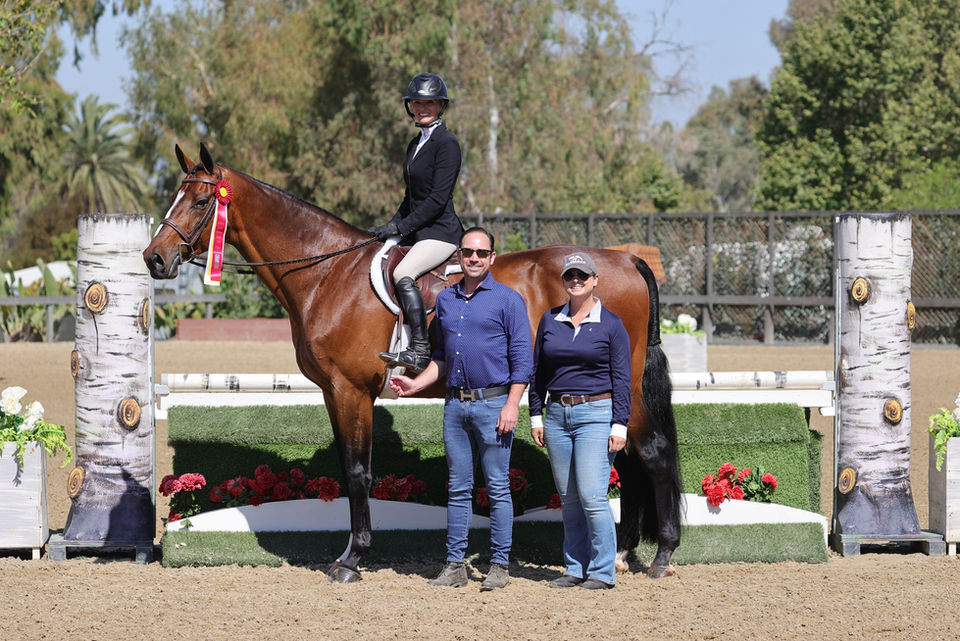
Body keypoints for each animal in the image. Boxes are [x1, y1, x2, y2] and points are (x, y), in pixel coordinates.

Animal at [143, 143, 682, 582]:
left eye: (200, 202)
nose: (154, 259)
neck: (327, 272)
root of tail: (627, 259)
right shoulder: (333, 391)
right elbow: (350, 470)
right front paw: (352, 553)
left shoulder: (350, 389)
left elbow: (358, 472)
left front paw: (353, 560)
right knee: (627, 456)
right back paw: (623, 555)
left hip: (622, 386)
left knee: (650, 452)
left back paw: (661, 556)